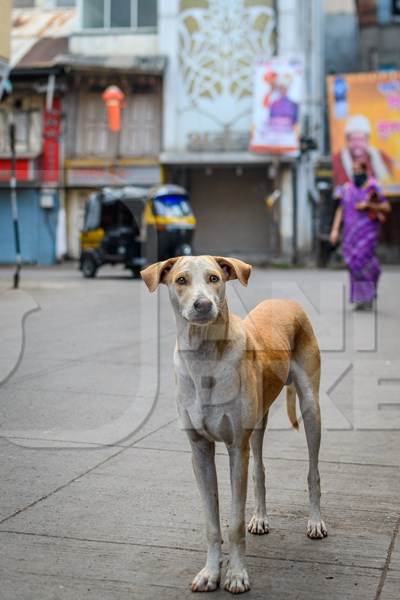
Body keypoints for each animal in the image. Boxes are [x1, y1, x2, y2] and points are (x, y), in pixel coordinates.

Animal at [142, 255, 326, 592]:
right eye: (181, 280)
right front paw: (210, 573)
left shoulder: (236, 448)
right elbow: (212, 522)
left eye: (214, 278)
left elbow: (235, 522)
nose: (203, 305)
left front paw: (237, 574)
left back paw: (316, 521)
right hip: (258, 422)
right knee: (260, 470)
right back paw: (261, 517)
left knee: (313, 471)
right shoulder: (200, 450)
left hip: (310, 407)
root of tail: (285, 300)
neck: (204, 357)